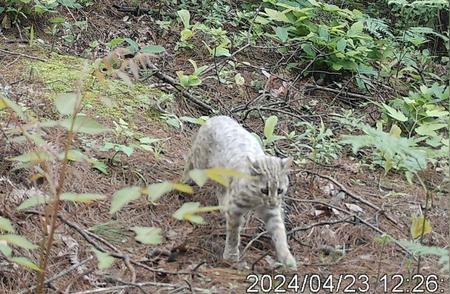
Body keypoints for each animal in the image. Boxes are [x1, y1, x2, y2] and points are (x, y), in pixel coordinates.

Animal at [181, 115, 298, 268]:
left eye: (280, 190)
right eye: (264, 190)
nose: (273, 202)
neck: (256, 199)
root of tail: (216, 117)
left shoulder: (272, 212)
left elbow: (280, 232)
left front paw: (287, 257)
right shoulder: (236, 208)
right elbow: (233, 234)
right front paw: (231, 255)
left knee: (220, 189)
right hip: (200, 161)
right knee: (190, 160)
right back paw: (183, 182)